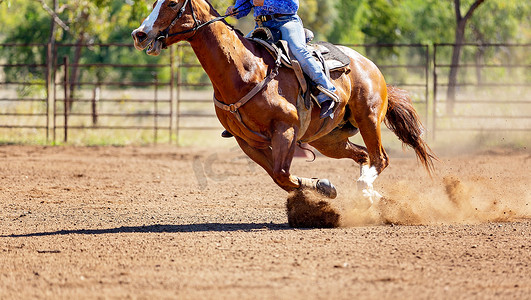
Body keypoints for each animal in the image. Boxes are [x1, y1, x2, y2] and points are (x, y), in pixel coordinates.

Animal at [133, 0, 436, 203]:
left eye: (172, 3)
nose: (139, 34)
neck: (245, 70)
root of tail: (369, 64)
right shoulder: (247, 141)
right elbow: (281, 178)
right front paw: (323, 186)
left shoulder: (286, 130)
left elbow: (281, 173)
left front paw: (322, 187)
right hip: (328, 140)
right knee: (363, 155)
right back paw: (370, 194)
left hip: (368, 117)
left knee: (380, 158)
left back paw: (366, 187)